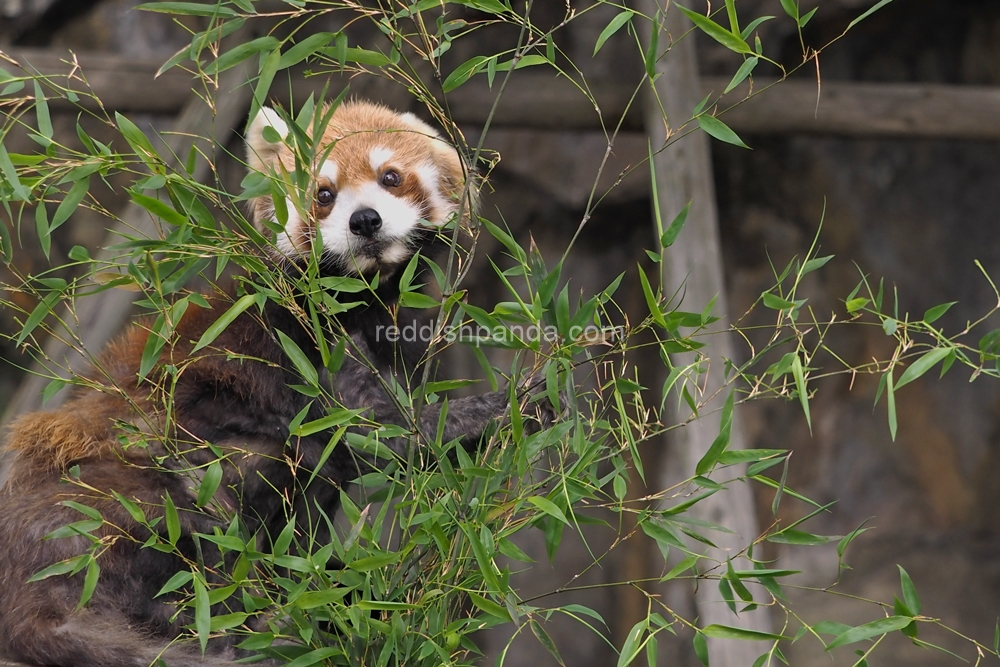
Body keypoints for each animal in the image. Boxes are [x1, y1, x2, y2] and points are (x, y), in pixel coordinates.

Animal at [0, 100, 532, 667]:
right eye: (324, 194)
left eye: (390, 176)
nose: (365, 220)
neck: (363, 298)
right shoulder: (300, 347)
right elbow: (378, 432)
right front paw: (522, 397)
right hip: (125, 488)